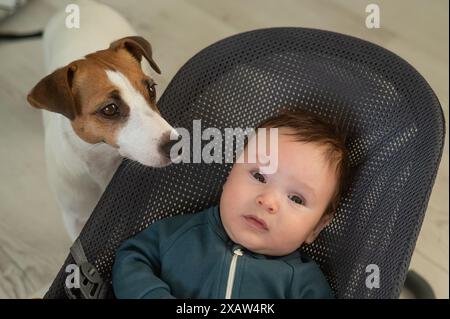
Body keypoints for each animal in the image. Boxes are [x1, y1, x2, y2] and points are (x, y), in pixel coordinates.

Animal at [26, 0, 179, 240]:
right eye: (110, 109)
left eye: (151, 89)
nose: (177, 144)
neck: (101, 158)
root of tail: (83, 5)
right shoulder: (75, 219)